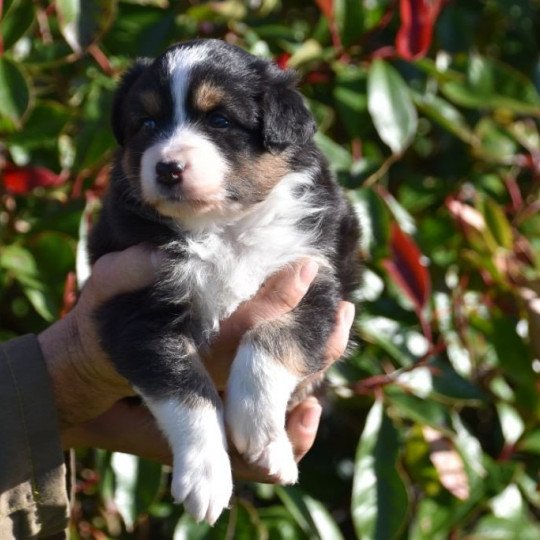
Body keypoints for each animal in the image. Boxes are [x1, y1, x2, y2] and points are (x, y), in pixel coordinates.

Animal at [88, 39, 360, 528]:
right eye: (147, 123)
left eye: (219, 120)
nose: (168, 168)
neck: (221, 227)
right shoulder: (134, 307)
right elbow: (185, 390)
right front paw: (206, 477)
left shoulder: (313, 276)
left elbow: (271, 339)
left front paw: (260, 429)